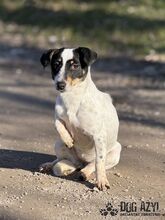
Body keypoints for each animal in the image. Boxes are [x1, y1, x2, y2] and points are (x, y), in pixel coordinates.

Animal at [38, 47, 121, 190]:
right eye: (56, 64)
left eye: (75, 65)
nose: (60, 85)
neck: (72, 98)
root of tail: (82, 162)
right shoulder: (58, 116)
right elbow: (58, 124)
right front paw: (68, 139)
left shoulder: (99, 136)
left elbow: (99, 162)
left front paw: (101, 181)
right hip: (58, 144)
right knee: (63, 161)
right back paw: (50, 165)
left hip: (115, 151)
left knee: (92, 164)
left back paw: (84, 173)